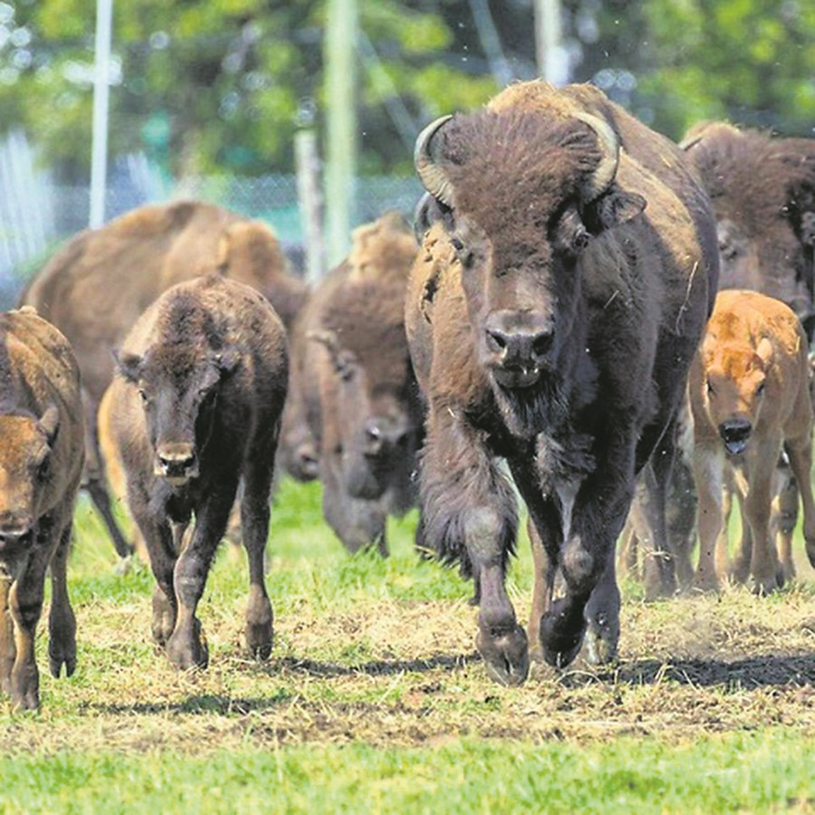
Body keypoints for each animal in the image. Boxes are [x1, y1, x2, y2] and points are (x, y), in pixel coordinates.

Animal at [105, 275, 288, 669]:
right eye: (144, 393)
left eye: (209, 393)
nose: (176, 461)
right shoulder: (140, 496)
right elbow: (164, 565)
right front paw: (169, 631)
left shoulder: (218, 492)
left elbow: (190, 567)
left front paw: (187, 650)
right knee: (178, 536)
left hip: (263, 449)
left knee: (255, 527)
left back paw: (258, 633)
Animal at [406, 80, 718, 684]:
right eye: (464, 245)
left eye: (575, 240)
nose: (520, 342)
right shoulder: (460, 418)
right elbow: (487, 524)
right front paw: (506, 649)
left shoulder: (618, 429)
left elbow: (588, 545)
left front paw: (559, 637)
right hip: (526, 453)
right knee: (545, 530)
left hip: (651, 421)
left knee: (598, 527)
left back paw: (593, 633)